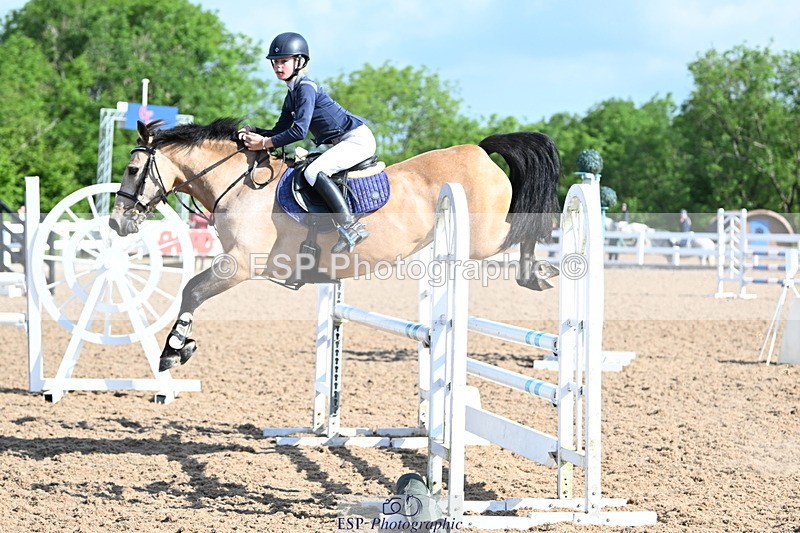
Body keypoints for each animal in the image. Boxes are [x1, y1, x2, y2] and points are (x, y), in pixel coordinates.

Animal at [109, 118, 562, 371]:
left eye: (132, 169)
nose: (117, 221)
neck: (238, 186)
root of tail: (479, 151)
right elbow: (193, 291)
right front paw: (184, 345)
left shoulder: (240, 264)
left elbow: (192, 290)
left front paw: (173, 350)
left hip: (483, 237)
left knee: (525, 229)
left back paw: (539, 273)